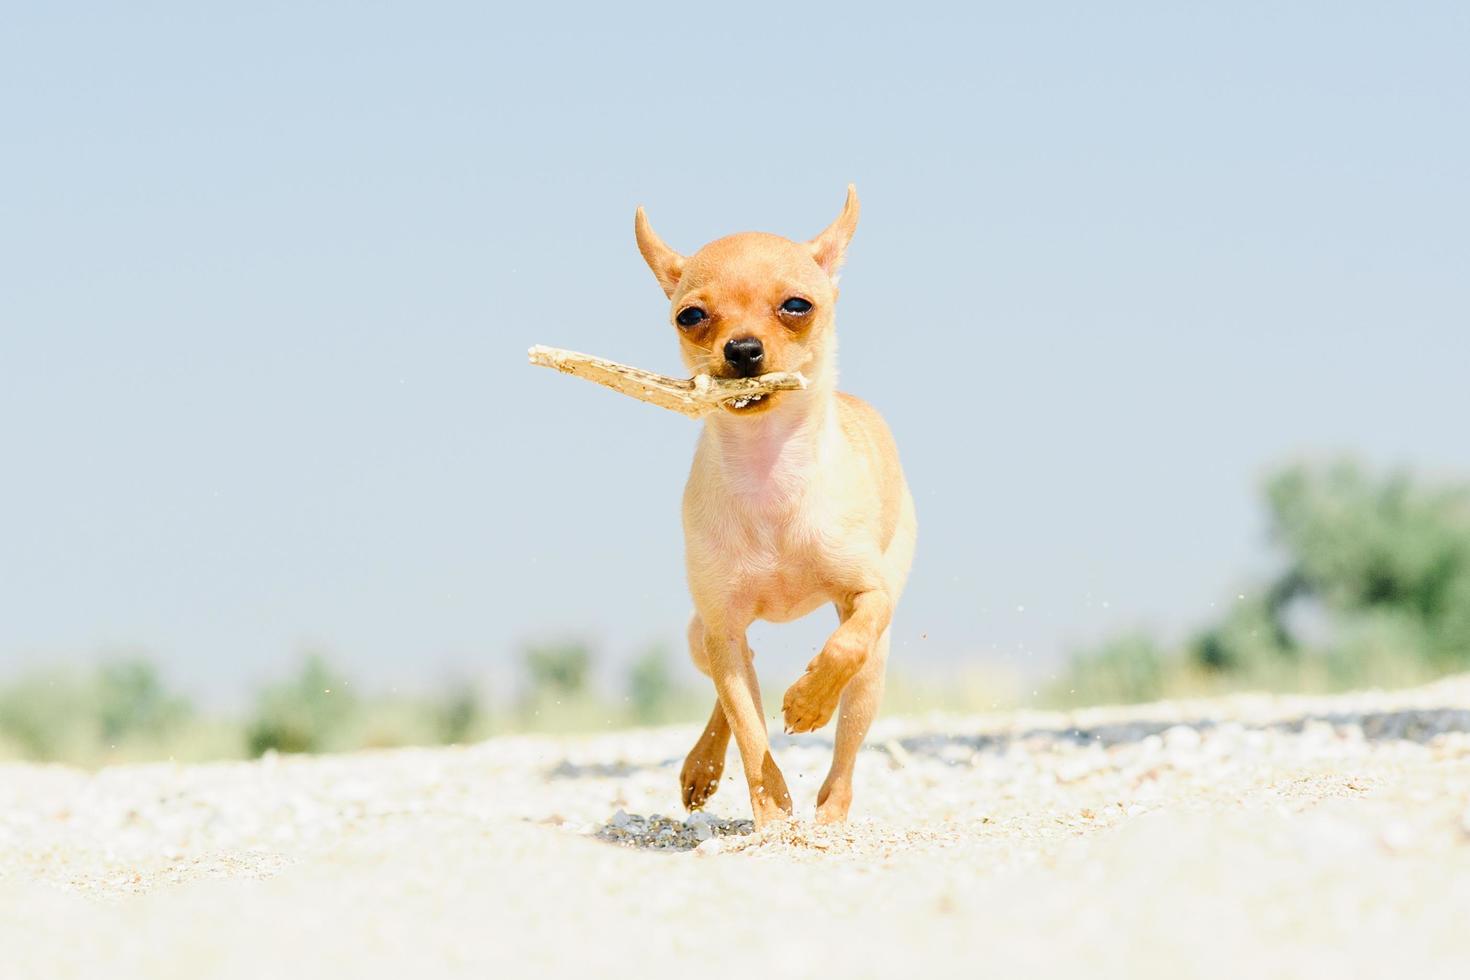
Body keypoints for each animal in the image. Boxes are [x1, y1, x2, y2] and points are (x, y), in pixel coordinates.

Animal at [635, 185, 911, 828]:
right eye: (691, 316)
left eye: (796, 306)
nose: (742, 349)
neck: (768, 470)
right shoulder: (722, 625)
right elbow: (749, 730)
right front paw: (771, 818)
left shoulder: (870, 596)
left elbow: (844, 645)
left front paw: (809, 701)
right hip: (703, 636)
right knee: (735, 684)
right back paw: (703, 768)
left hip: (874, 669)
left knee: (847, 741)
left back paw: (831, 815)